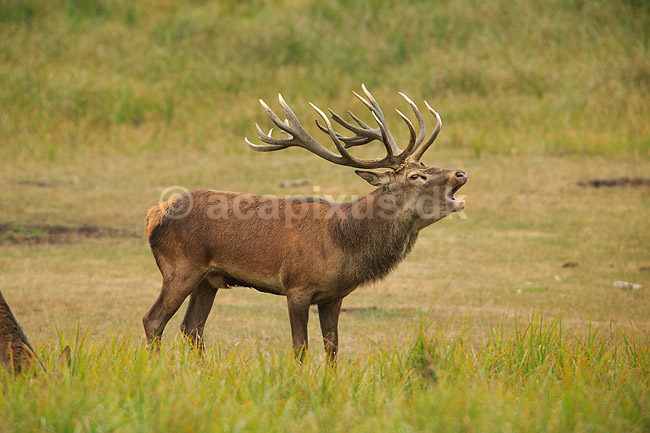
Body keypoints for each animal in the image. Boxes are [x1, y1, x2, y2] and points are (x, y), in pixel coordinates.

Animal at [142, 85, 467, 362]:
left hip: (208, 279)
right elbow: (300, 347)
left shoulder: (334, 296)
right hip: (180, 268)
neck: (343, 243)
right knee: (154, 320)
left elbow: (332, 348)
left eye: (426, 165)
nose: (461, 173)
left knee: (192, 328)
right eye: (416, 176)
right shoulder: (296, 286)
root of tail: (157, 212)